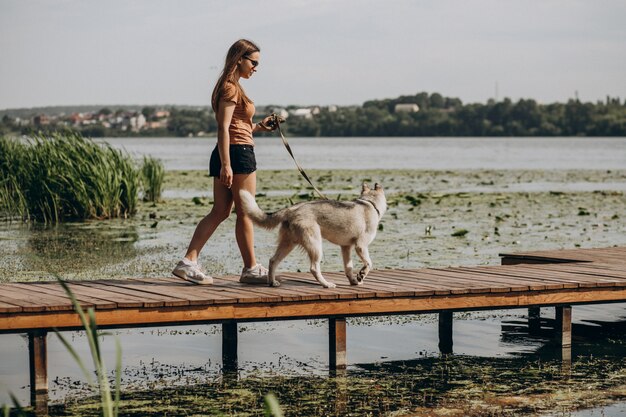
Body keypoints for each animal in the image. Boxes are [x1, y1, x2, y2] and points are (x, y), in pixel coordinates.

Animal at [239, 184, 386, 288]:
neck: (369, 203)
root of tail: (291, 209)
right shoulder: (361, 246)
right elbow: (368, 263)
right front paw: (361, 275)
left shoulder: (346, 248)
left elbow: (348, 268)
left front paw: (354, 281)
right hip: (315, 246)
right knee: (314, 268)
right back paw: (326, 284)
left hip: (288, 245)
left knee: (273, 261)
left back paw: (272, 282)